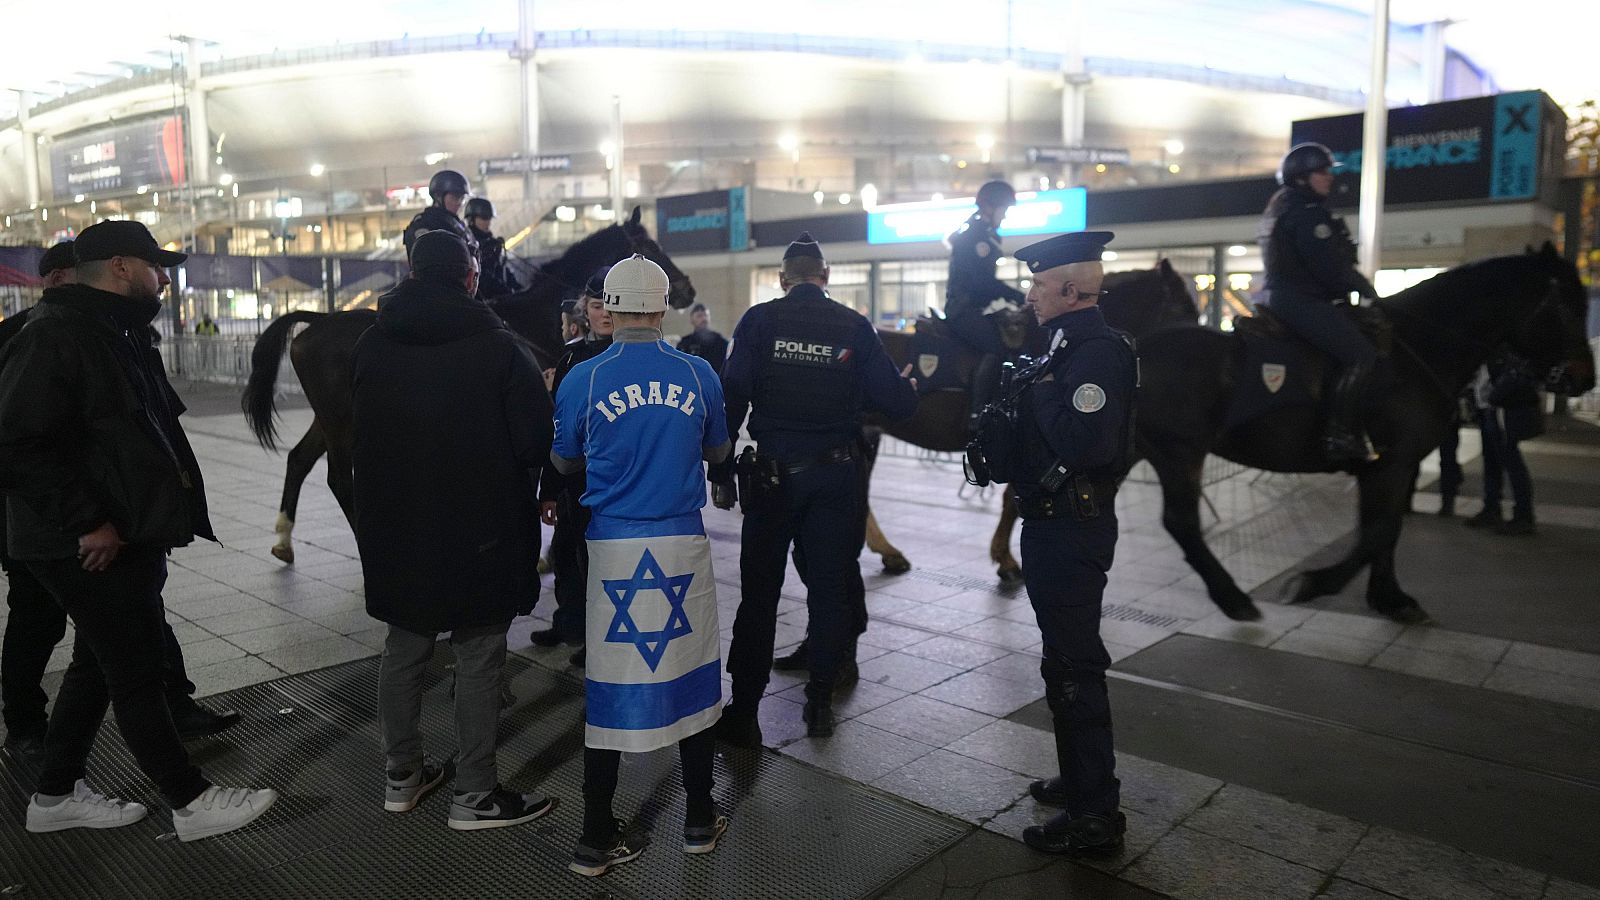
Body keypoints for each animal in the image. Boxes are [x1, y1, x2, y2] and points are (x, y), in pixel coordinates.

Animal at [240, 209, 691, 560]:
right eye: (649, 249)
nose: (687, 290)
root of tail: (317, 320)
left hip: (329, 418)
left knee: (299, 459)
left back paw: (284, 539)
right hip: (342, 424)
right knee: (338, 479)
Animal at [1139, 245, 1587, 624]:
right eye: (1569, 308)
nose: (1584, 378)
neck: (1418, 350)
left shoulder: (1388, 466)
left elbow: (1385, 528)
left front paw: (1390, 598)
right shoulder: (1392, 463)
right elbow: (1379, 530)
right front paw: (1313, 583)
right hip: (1179, 452)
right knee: (1182, 522)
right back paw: (1233, 598)